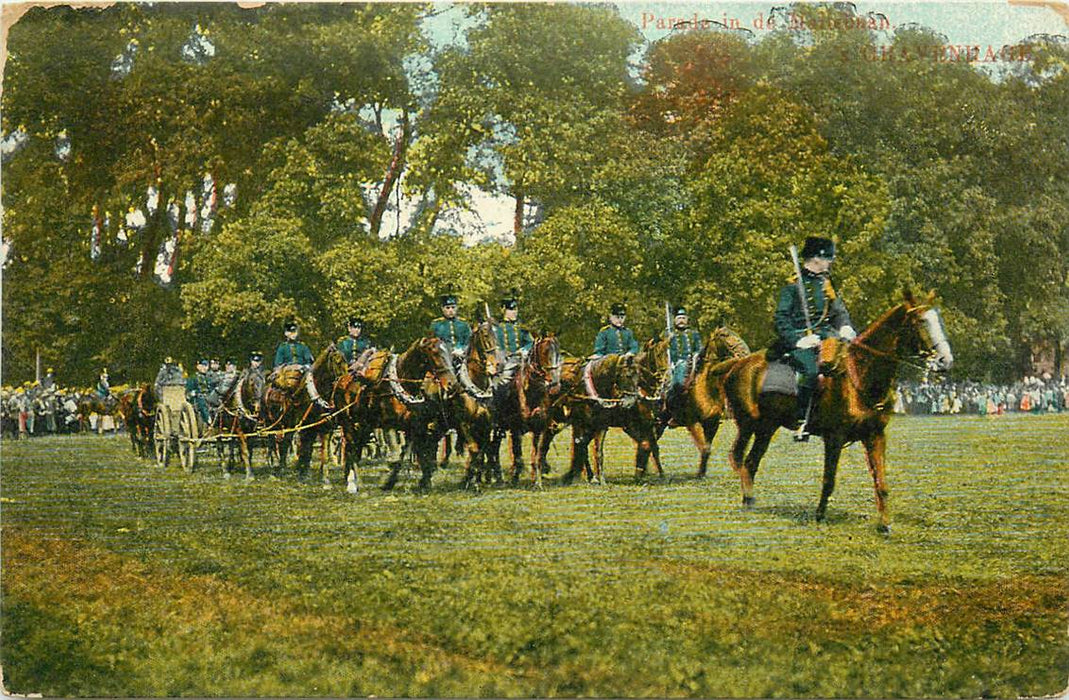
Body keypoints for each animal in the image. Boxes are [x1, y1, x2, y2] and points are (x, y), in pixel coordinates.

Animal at [261, 344, 350, 487]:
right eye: (336, 362)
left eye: (345, 361)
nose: (346, 382)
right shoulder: (306, 428)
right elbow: (305, 450)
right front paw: (303, 474)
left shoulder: (325, 428)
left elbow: (323, 452)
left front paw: (324, 478)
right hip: (273, 424)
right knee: (274, 444)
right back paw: (275, 468)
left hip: (289, 426)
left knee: (285, 443)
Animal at [335, 337, 457, 493]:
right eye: (434, 352)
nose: (452, 384)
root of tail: (340, 380)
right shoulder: (389, 426)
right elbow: (397, 454)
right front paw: (387, 481)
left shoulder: (414, 427)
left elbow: (408, 453)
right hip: (348, 423)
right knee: (350, 448)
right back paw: (352, 482)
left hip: (364, 425)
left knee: (356, 449)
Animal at [658, 327, 752, 478]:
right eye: (724, 336)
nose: (745, 353)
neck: (707, 386)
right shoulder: (694, 423)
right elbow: (704, 447)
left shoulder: (711, 424)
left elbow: (706, 448)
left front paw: (701, 473)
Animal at [718, 290, 953, 532]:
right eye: (921, 321)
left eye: (939, 319)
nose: (945, 360)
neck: (859, 375)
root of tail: (738, 365)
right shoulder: (834, 438)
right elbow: (829, 480)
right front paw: (820, 515)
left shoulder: (876, 435)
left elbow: (881, 481)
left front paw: (884, 525)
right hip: (750, 425)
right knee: (743, 460)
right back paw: (748, 502)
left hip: (767, 428)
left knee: (750, 462)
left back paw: (749, 501)